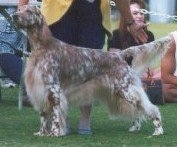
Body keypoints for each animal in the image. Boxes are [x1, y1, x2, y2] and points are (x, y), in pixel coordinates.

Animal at [12, 5, 170, 137]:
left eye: (29, 11)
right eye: (20, 9)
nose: (14, 15)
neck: (42, 46)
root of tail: (119, 55)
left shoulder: (53, 89)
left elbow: (56, 115)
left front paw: (55, 133)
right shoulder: (39, 88)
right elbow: (44, 115)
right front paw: (41, 133)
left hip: (126, 90)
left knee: (151, 108)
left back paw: (158, 130)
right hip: (121, 91)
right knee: (137, 109)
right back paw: (135, 128)